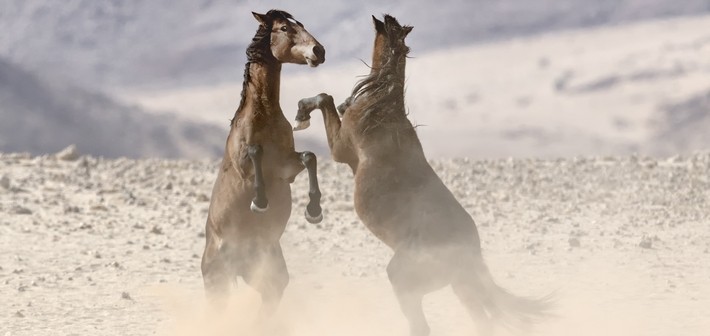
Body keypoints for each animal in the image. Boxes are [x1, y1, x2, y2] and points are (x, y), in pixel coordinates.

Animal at [202, 8, 326, 318]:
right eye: (284, 28)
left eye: (300, 24)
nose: (319, 51)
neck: (264, 117)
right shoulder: (246, 165)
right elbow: (256, 154)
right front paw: (259, 201)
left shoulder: (287, 170)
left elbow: (310, 157)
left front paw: (314, 211)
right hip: (217, 281)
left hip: (268, 272)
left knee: (271, 296)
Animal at [294, 14, 552, 334]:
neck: (380, 109)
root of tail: (471, 252)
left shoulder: (341, 148)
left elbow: (324, 99)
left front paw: (300, 116)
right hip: (462, 286)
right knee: (483, 320)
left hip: (406, 278)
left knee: (423, 324)